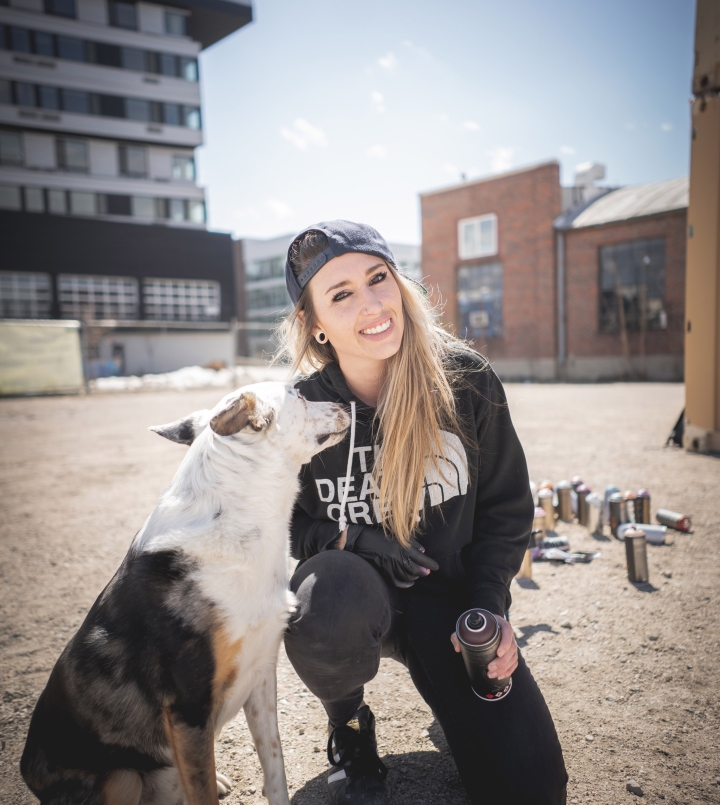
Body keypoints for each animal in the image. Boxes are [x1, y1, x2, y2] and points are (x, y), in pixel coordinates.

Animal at [21, 382, 350, 804]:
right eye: (299, 395)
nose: (345, 404)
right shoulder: (188, 708)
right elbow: (203, 791)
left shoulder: (261, 673)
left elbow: (275, 768)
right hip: (121, 778)